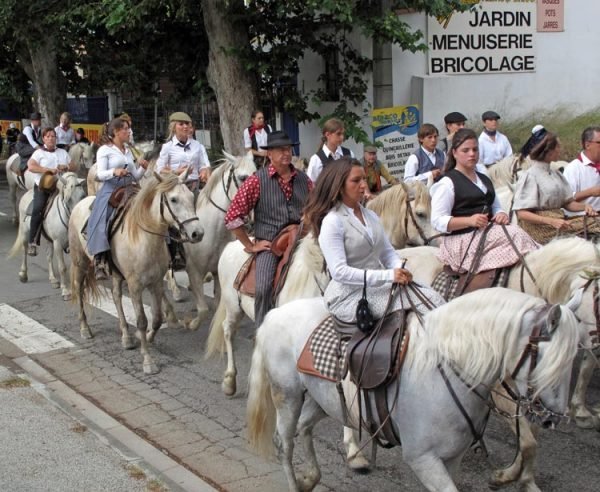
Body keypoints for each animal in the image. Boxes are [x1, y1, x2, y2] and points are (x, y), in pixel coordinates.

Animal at [68, 173, 204, 372]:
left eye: (191, 196)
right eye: (173, 199)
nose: (197, 233)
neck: (144, 239)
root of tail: (80, 203)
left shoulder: (156, 283)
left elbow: (157, 318)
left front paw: (146, 338)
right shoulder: (135, 286)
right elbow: (141, 321)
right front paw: (148, 361)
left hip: (116, 274)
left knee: (116, 296)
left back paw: (126, 337)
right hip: (80, 263)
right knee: (78, 290)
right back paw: (85, 329)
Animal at [177, 151, 254, 322]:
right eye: (243, 178)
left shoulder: (217, 272)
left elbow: (217, 301)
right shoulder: (193, 270)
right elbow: (203, 310)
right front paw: (190, 323)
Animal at [245, 288, 584, 492]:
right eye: (547, 357)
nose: (551, 418)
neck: (446, 370)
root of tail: (275, 314)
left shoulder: (453, 458)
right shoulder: (423, 459)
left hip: (323, 401)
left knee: (304, 428)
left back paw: (311, 477)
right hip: (288, 396)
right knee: (284, 443)